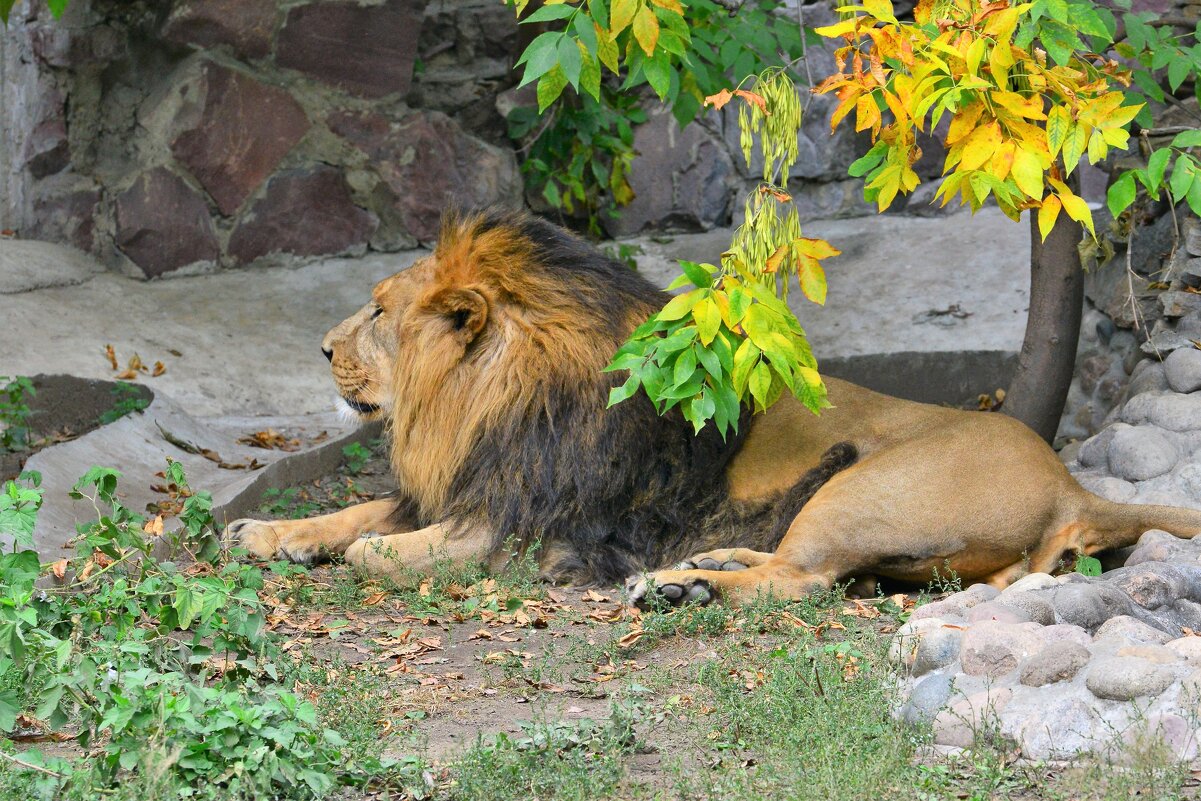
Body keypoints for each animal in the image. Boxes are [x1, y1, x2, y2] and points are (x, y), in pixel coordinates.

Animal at [226, 206, 1201, 607]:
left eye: (377, 312)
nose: (320, 350)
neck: (480, 401)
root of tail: (1068, 482)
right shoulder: (473, 479)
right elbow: (354, 512)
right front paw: (266, 532)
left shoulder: (525, 523)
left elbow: (378, 550)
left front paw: (350, 551)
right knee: (797, 564)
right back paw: (701, 564)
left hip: (863, 490)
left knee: (799, 581)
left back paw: (675, 584)